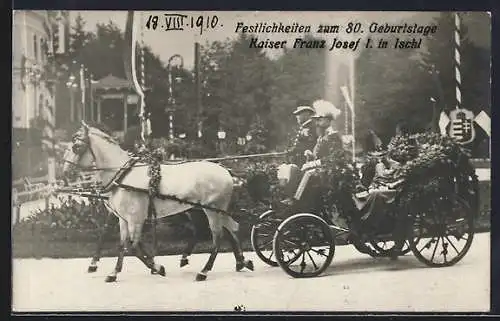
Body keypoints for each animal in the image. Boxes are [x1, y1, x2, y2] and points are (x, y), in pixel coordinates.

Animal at [61, 121, 254, 282]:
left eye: (76, 147)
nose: (65, 173)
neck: (123, 175)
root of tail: (225, 170)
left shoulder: (135, 219)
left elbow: (133, 246)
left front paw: (157, 267)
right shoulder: (123, 219)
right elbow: (122, 244)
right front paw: (114, 272)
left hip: (212, 209)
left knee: (218, 237)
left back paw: (204, 271)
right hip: (207, 209)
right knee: (230, 229)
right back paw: (241, 261)